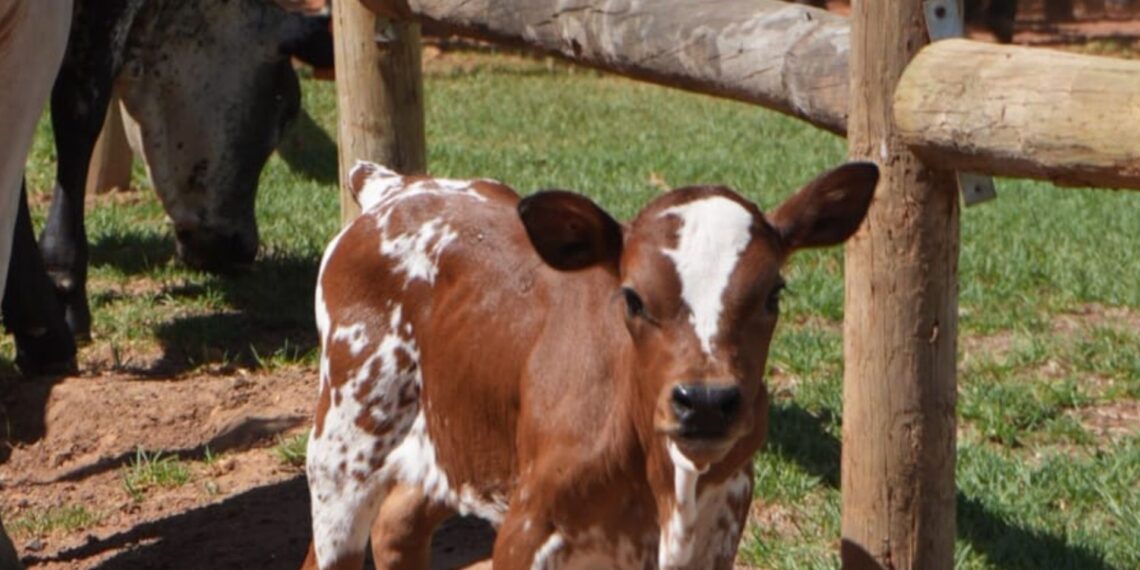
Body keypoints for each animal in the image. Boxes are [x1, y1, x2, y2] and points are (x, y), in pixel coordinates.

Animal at [302, 160, 879, 569]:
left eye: (772, 295)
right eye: (633, 298)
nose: (706, 402)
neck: (665, 485)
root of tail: (397, 186)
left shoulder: (719, 527)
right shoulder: (526, 531)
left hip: (456, 444)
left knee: (398, 527)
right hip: (343, 448)